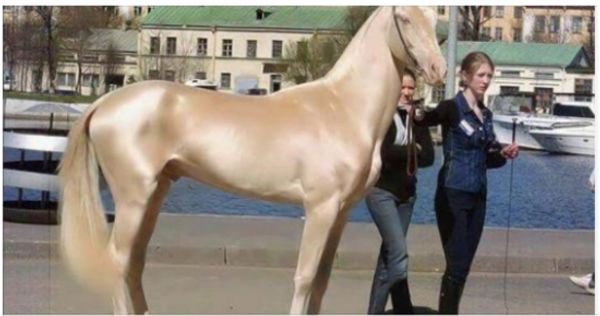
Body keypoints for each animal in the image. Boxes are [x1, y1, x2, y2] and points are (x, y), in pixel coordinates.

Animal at [59, 5, 446, 314]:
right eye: (403, 18)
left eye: (433, 18)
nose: (438, 69)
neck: (343, 107)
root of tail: (104, 103)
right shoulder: (320, 208)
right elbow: (305, 278)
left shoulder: (341, 212)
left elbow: (321, 281)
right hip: (133, 198)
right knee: (118, 262)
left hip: (154, 195)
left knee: (135, 263)